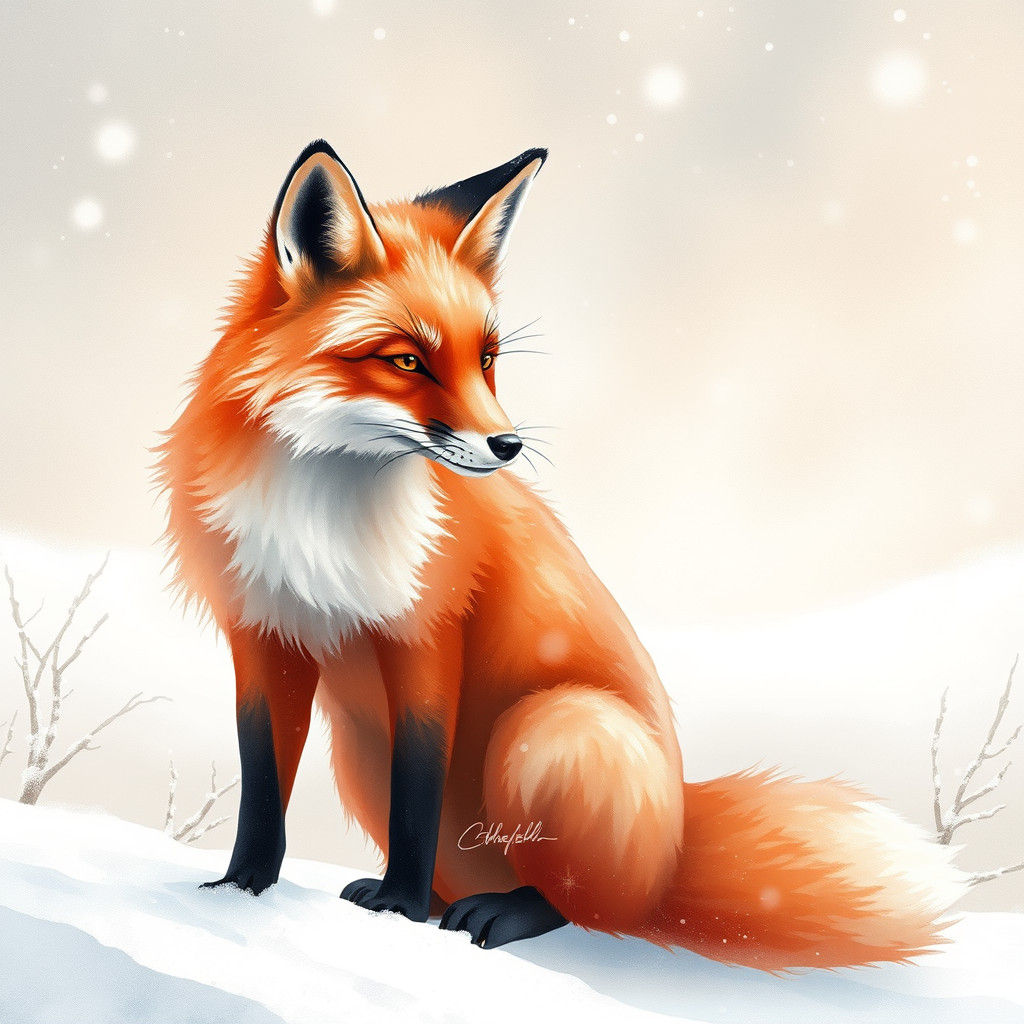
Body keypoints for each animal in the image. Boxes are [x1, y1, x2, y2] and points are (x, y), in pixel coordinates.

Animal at [158, 140, 964, 968]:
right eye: (408, 362)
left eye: (487, 357)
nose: (507, 445)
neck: (320, 521)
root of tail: (675, 851)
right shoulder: (264, 634)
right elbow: (264, 783)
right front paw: (242, 888)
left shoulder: (427, 634)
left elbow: (418, 791)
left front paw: (397, 908)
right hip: (359, 750)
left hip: (546, 729)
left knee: (587, 907)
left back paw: (496, 911)